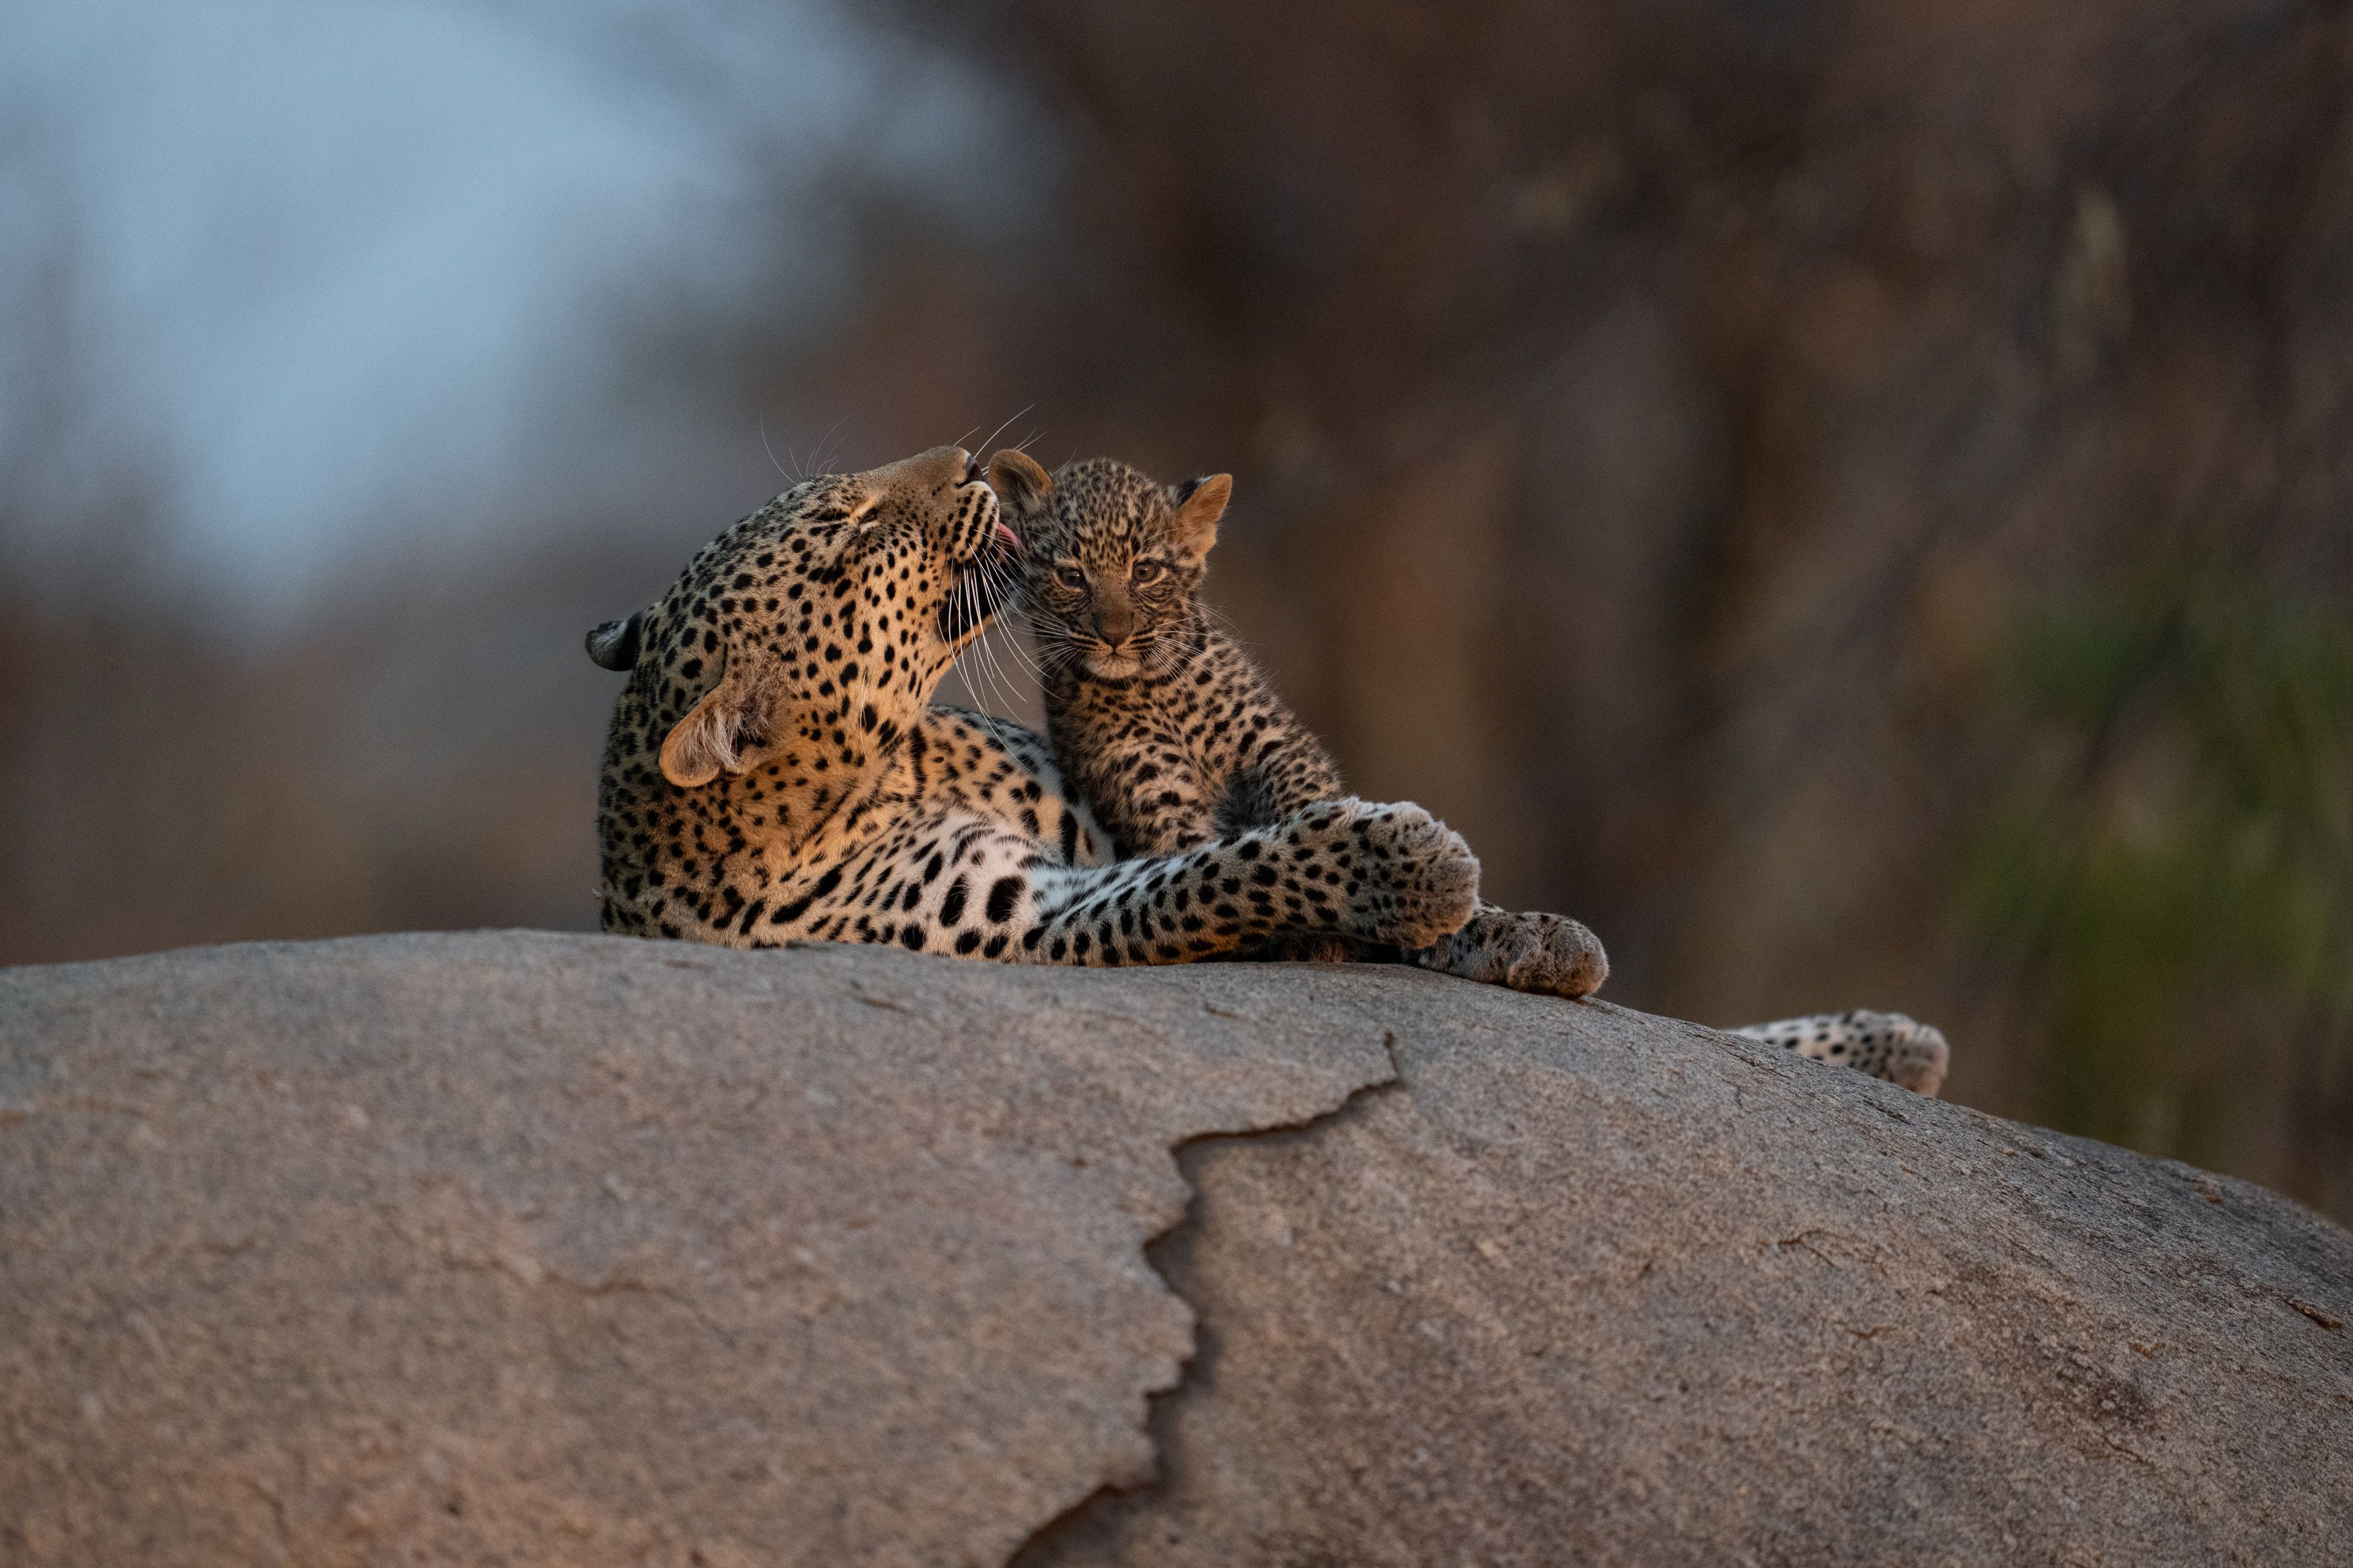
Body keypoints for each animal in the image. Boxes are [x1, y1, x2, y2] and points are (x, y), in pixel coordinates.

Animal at [584, 444, 1482, 972]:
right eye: (853, 529)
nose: (967, 460)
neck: (883, 775)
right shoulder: (1030, 912)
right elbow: (1216, 873)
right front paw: (1411, 864)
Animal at [988, 448, 1950, 1097]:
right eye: (1069, 575)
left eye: (1146, 568)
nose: (1114, 634)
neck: (1156, 685)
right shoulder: (1158, 803)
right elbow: (1226, 865)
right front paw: (1325, 921)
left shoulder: (1276, 747)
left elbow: (1322, 813)